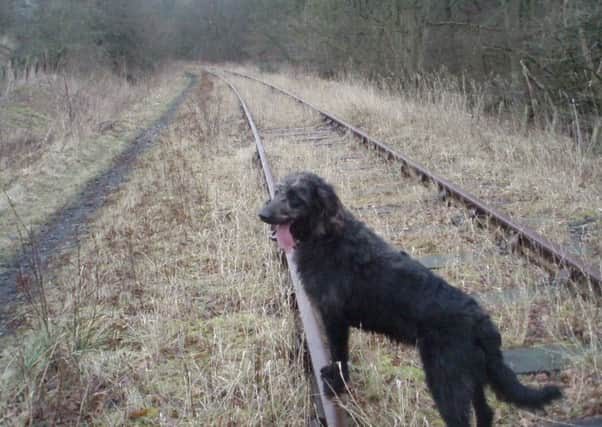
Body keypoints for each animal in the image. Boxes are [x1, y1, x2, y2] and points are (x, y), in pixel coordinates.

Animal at [260, 172, 560, 426]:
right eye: (279, 191)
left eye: (296, 197)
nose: (262, 214)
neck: (327, 235)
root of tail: (481, 322)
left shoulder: (335, 319)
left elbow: (340, 357)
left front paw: (336, 385)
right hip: (472, 376)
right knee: (486, 412)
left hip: (446, 381)